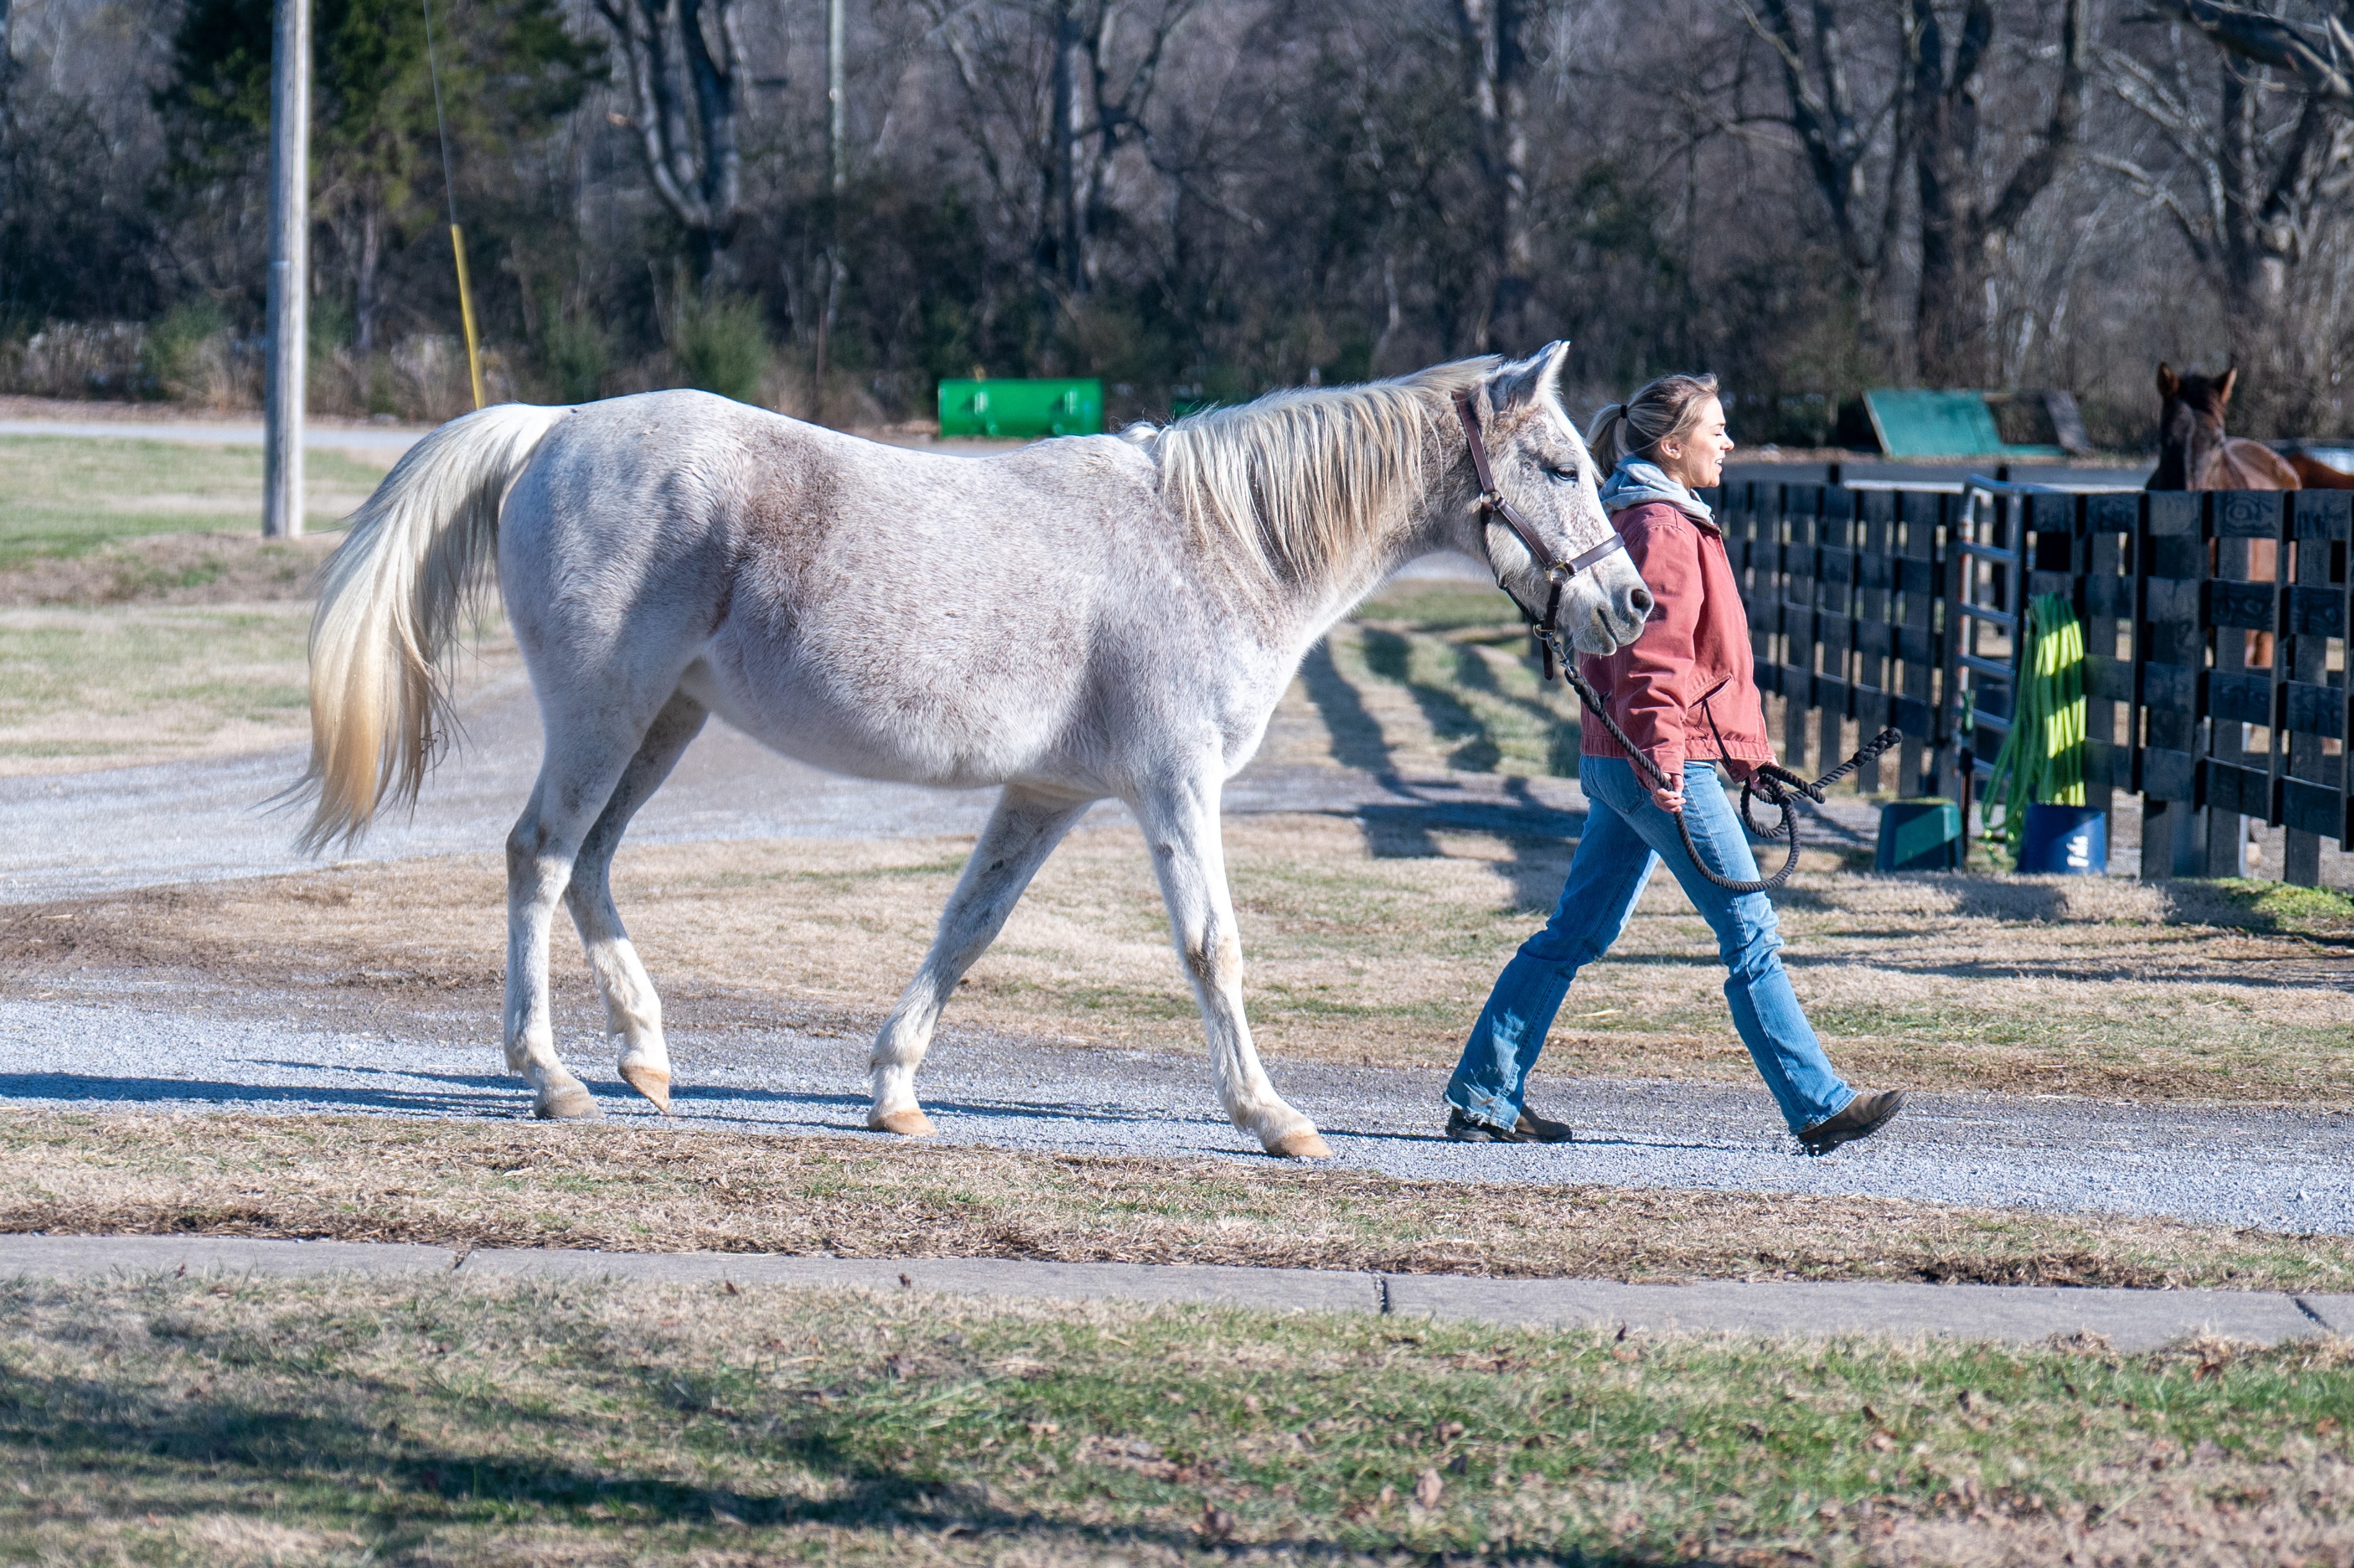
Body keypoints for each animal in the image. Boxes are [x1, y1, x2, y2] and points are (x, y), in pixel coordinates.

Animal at [294, 341, 1648, 1149]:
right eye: (1556, 461)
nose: (1628, 603)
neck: (1218, 544)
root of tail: (555, 428)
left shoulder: (1046, 794)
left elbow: (966, 927)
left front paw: (895, 1089)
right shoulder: (1174, 786)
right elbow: (1211, 947)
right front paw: (1270, 1112)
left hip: (660, 720)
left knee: (591, 864)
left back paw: (645, 1055)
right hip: (603, 710)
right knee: (538, 856)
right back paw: (553, 1074)